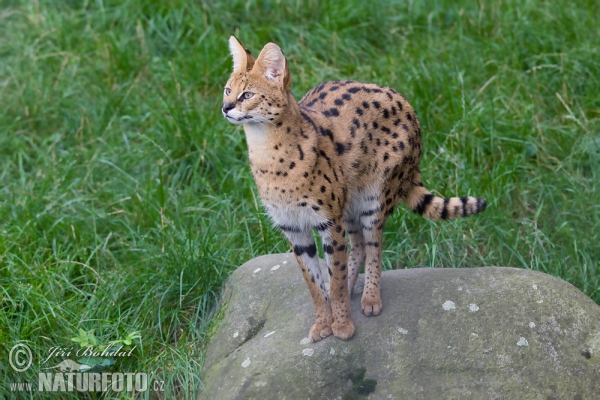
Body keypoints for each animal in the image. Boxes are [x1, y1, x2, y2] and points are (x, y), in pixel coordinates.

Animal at [223, 36, 486, 340]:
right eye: (228, 90)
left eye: (247, 95)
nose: (225, 107)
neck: (267, 154)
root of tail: (411, 110)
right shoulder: (294, 227)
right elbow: (313, 283)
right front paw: (323, 323)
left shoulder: (328, 220)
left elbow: (334, 277)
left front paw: (342, 325)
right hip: (347, 203)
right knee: (358, 245)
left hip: (374, 198)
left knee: (373, 246)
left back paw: (370, 297)